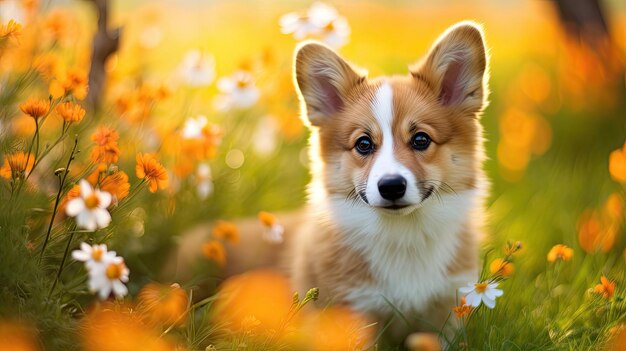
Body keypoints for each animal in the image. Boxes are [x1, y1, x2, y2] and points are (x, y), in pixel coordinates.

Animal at [288, 21, 488, 340]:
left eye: (421, 139)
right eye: (364, 144)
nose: (391, 186)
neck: (403, 236)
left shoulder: (447, 308)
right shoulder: (356, 309)